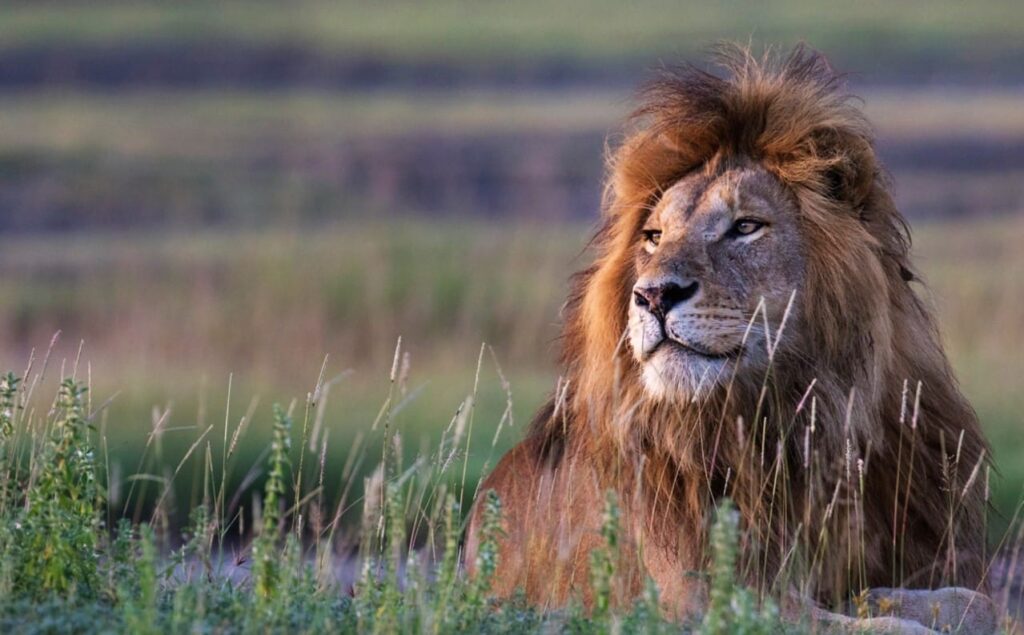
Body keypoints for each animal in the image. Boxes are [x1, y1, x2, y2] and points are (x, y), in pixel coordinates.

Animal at [466, 45, 991, 623]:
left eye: (745, 227)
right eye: (654, 236)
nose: (653, 296)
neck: (799, 423)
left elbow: (966, 600)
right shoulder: (712, 596)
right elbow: (882, 622)